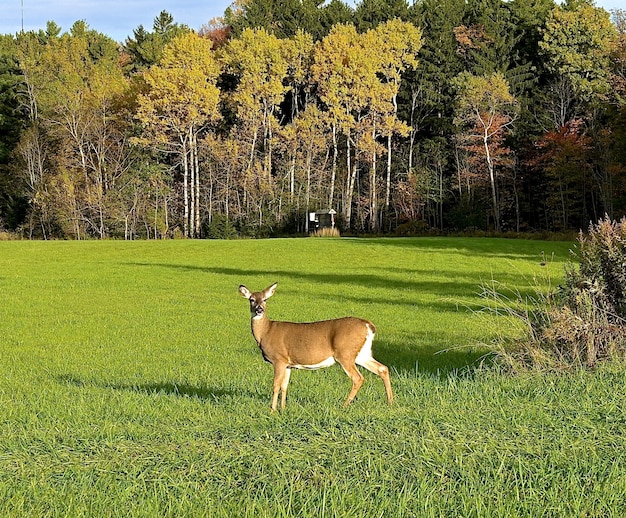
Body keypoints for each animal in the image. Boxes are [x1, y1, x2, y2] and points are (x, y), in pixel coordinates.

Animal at [236, 282, 392, 412]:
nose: (259, 309)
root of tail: (369, 325)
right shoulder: (288, 364)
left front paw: (272, 411)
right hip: (362, 353)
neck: (266, 332)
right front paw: (283, 409)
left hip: (345, 353)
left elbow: (275, 385)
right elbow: (284, 386)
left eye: (265, 299)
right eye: (251, 299)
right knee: (383, 368)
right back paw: (391, 402)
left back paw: (344, 405)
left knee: (358, 378)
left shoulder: (278, 359)